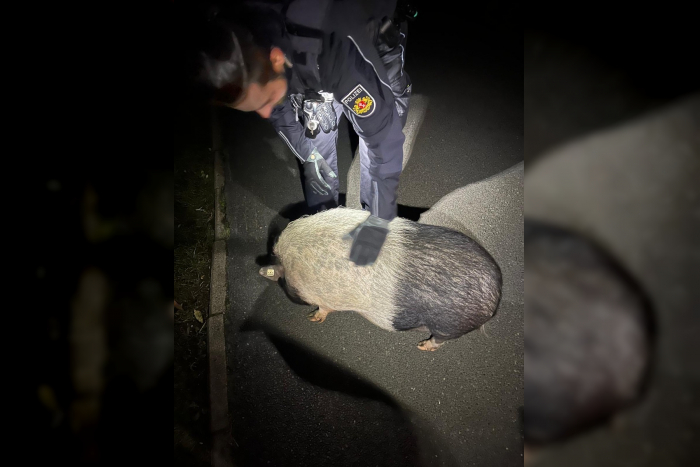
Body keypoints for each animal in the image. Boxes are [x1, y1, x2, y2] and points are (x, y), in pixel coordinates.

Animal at [259, 207, 502, 351]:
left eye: (282, 282)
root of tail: (496, 295)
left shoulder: (325, 298)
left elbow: (324, 310)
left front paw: (312, 318)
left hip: (448, 326)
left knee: (439, 340)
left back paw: (421, 346)